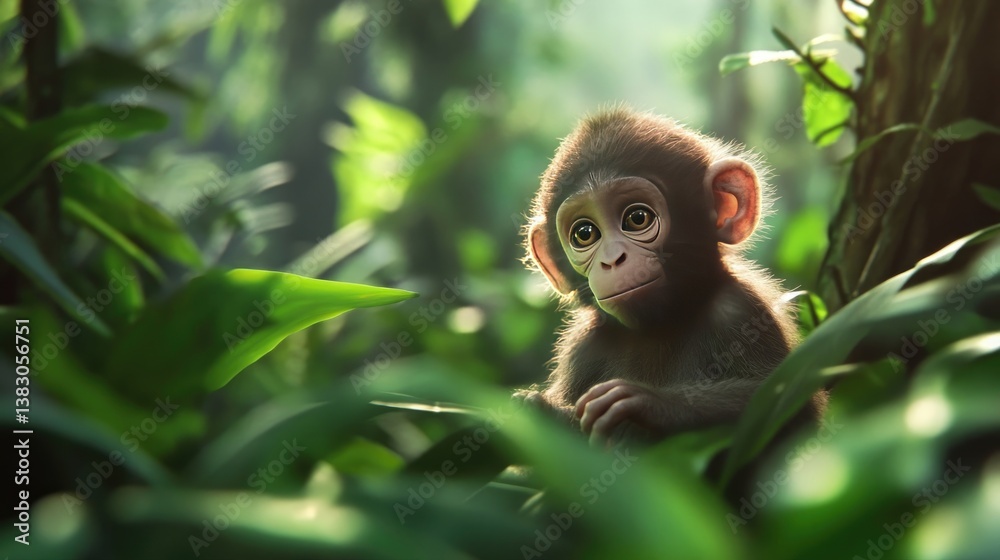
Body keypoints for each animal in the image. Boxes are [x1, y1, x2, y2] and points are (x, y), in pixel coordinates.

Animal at [517, 106, 826, 448]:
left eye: (638, 218)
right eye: (584, 234)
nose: (612, 259)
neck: (659, 328)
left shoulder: (741, 310)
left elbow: (788, 409)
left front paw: (647, 404)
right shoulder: (582, 348)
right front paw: (538, 410)